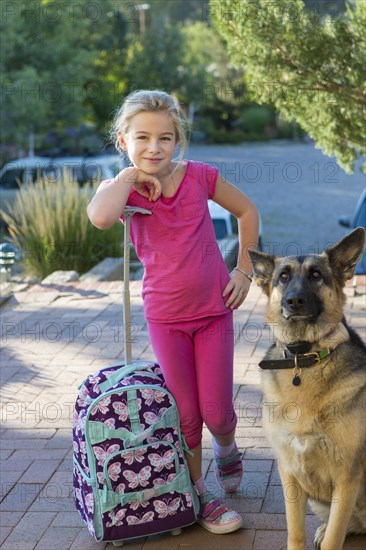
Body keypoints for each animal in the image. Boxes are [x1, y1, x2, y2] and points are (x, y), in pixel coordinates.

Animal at [249, 230, 366, 550]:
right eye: (283, 277)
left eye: (316, 275)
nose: (295, 301)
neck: (305, 357)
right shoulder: (289, 473)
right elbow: (295, 533)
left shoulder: (347, 479)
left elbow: (334, 539)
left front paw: (331, 536)